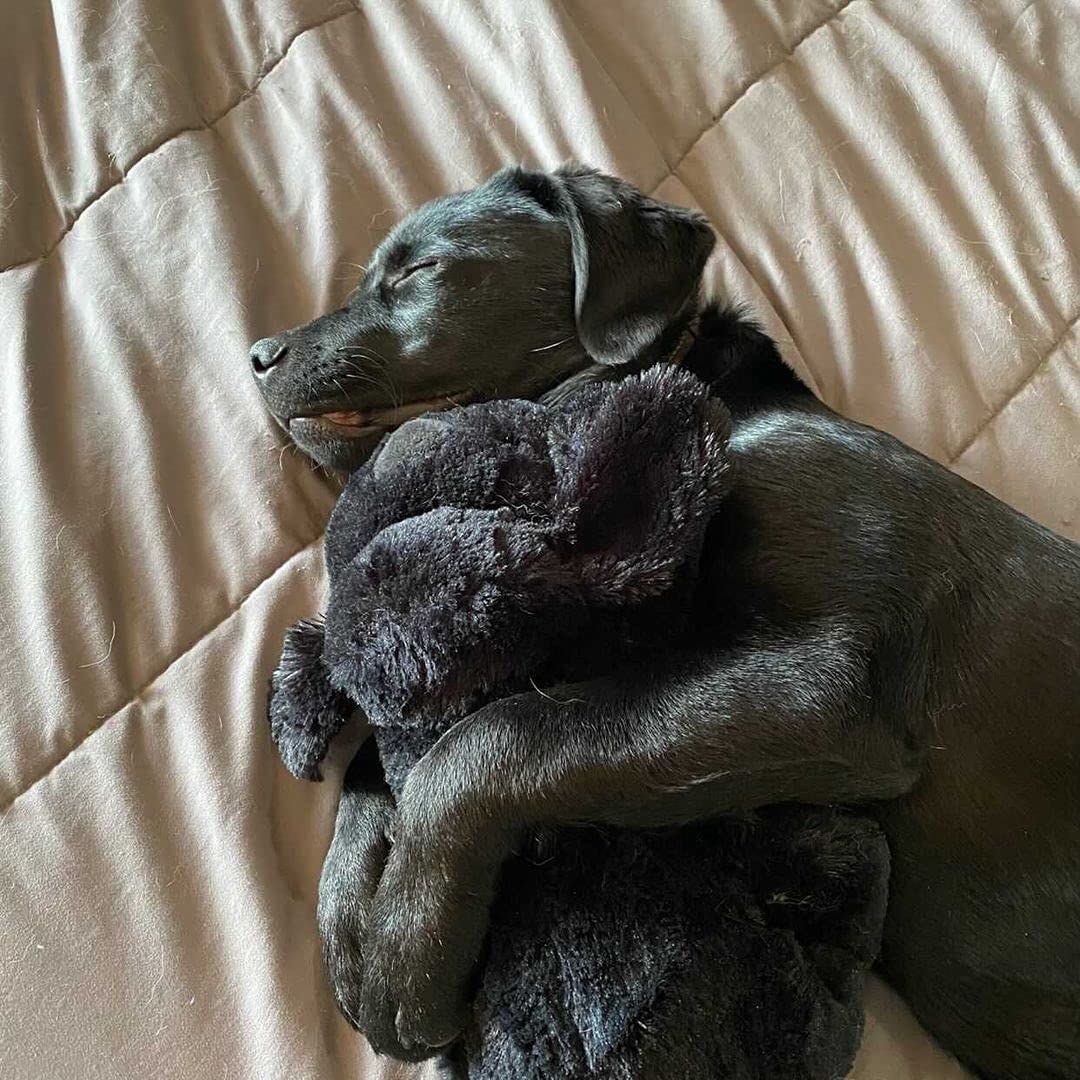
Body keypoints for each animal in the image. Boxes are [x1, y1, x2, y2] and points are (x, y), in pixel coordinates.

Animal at [252, 166, 1080, 1080]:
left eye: (418, 270)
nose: (257, 355)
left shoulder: (827, 689)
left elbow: (486, 743)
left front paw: (408, 951)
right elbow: (388, 744)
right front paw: (351, 908)